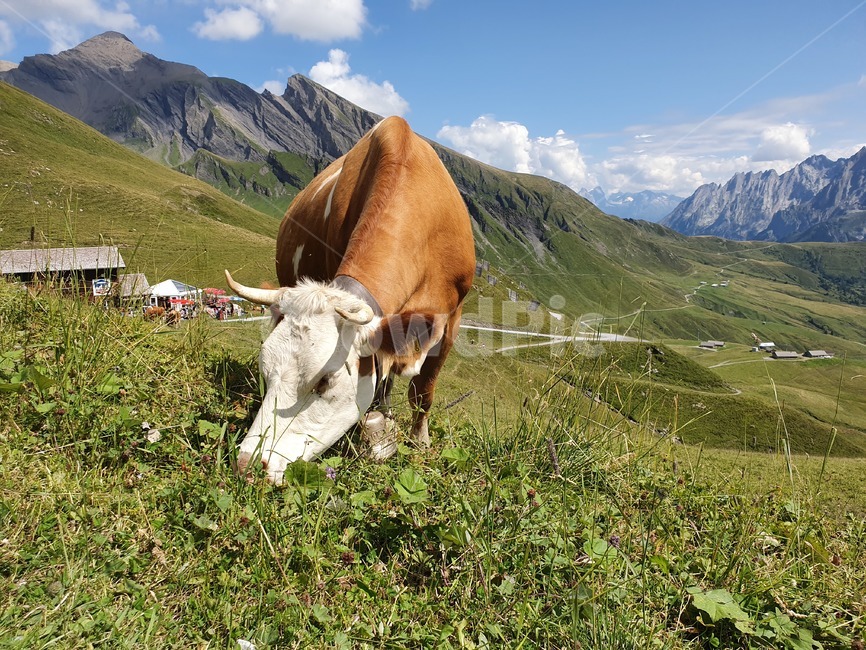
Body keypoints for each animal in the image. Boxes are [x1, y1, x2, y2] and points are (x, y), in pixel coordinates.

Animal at [225, 116, 475, 484]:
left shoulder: (452, 317)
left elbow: (423, 391)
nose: (247, 466)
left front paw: (420, 442)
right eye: (265, 371)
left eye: (324, 381)